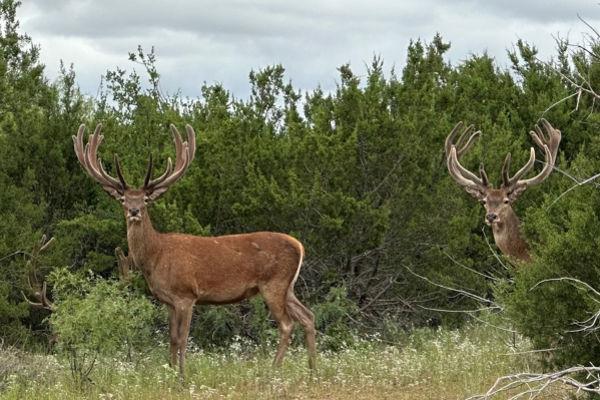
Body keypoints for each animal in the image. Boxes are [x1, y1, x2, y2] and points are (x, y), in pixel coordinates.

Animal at [72, 123, 316, 374]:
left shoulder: (186, 295)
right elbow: (171, 338)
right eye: (123, 199)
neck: (155, 257)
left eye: (146, 199)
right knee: (308, 316)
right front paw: (169, 371)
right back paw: (312, 370)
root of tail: (299, 245)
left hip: (273, 283)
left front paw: (182, 373)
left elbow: (182, 338)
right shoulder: (168, 301)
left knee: (287, 324)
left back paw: (274, 369)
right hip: (287, 287)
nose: (134, 211)